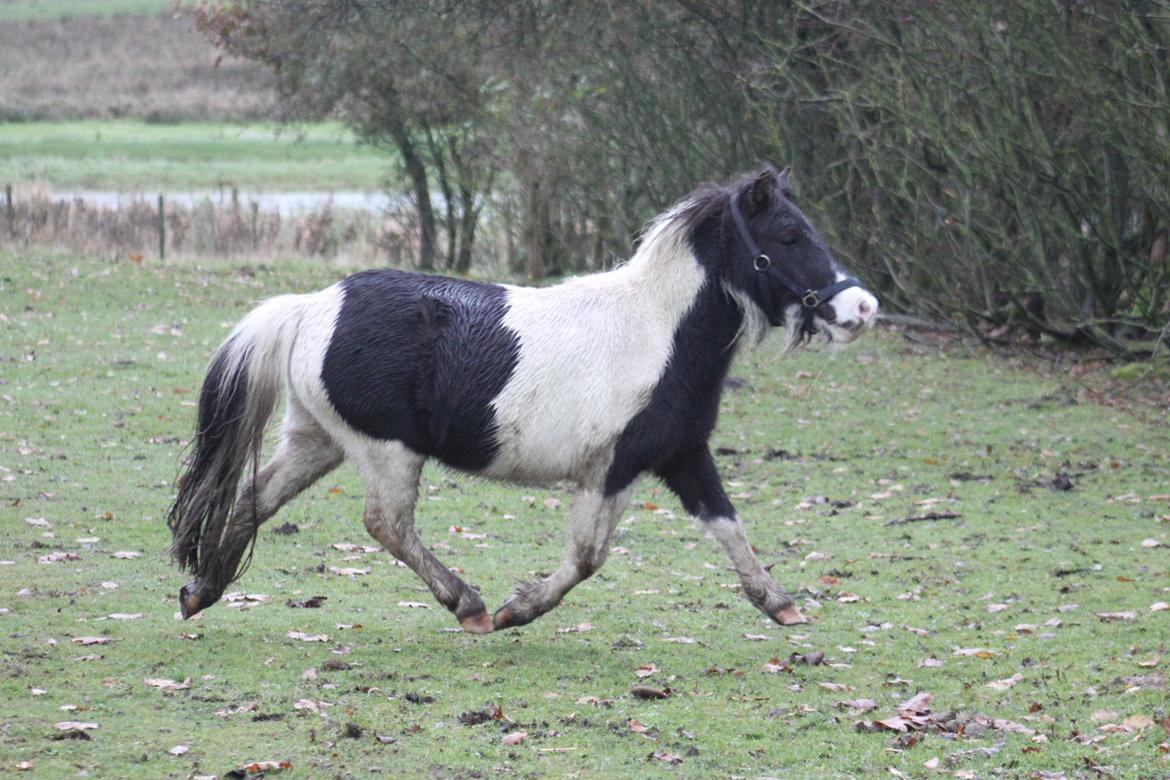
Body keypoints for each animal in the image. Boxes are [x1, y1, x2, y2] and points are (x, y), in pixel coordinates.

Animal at [169, 166, 875, 636]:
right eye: (788, 235)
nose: (862, 308)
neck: (655, 331)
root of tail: (311, 306)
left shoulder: (681, 455)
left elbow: (729, 526)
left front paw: (779, 602)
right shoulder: (611, 469)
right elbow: (588, 558)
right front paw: (518, 609)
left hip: (318, 439)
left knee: (255, 496)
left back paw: (202, 589)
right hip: (386, 450)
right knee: (386, 524)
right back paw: (470, 606)